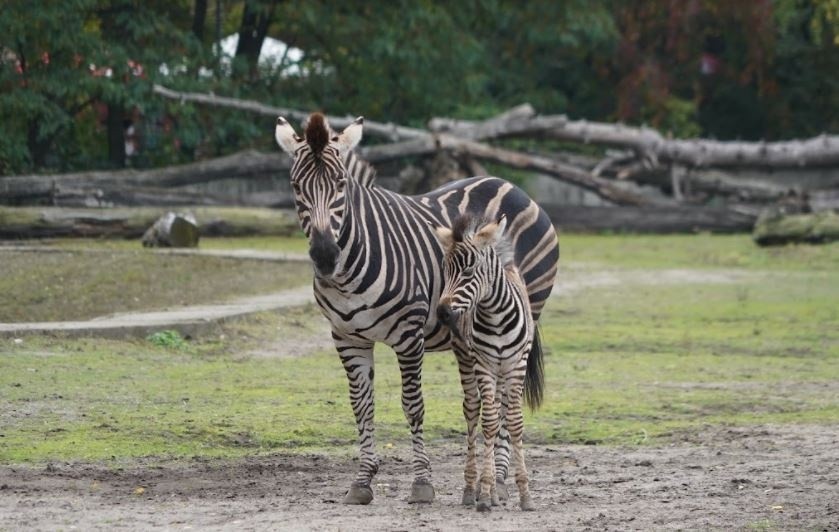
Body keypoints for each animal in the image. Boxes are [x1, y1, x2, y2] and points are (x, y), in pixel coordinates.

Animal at [434, 213, 540, 512]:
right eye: (445, 271)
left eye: (468, 272)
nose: (442, 314)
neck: (496, 317)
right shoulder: (483, 365)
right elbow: (488, 423)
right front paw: (484, 490)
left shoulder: (517, 364)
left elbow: (513, 422)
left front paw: (525, 494)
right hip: (468, 362)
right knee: (474, 411)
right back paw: (474, 488)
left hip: (504, 372)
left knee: (500, 410)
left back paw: (493, 489)